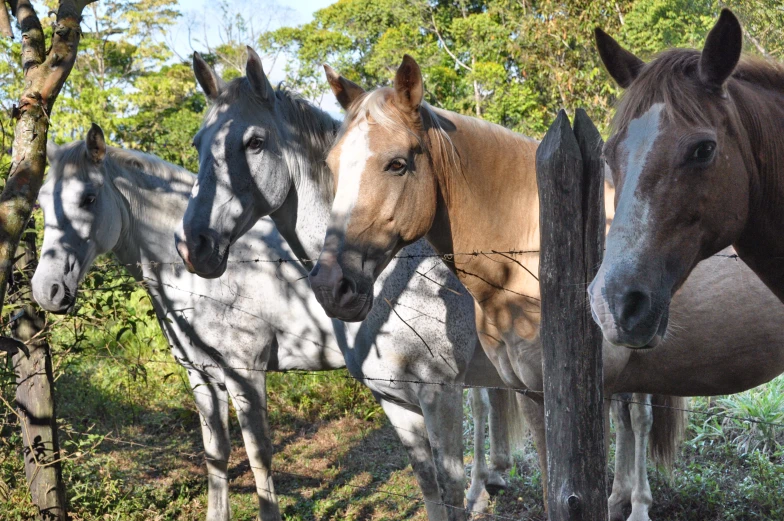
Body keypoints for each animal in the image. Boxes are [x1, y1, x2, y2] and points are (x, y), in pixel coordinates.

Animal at [32, 127, 520, 520]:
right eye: (39, 202)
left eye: (88, 198)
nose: (47, 289)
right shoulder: (201, 376)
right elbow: (216, 454)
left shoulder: (245, 372)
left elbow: (258, 454)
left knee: (481, 409)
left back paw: (479, 492)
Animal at [175, 49, 524, 520]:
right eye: (198, 144)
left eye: (254, 142)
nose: (195, 244)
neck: (396, 285)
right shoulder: (395, 401)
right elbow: (429, 487)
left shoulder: (440, 396)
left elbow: (448, 491)